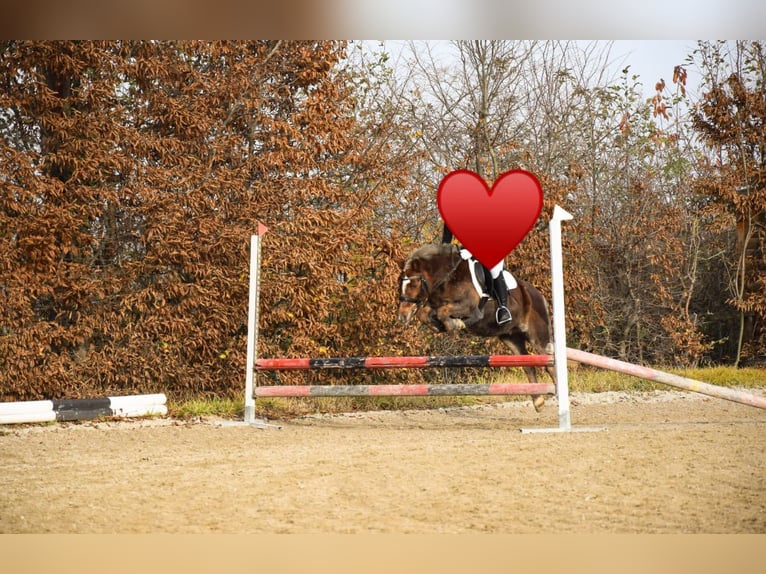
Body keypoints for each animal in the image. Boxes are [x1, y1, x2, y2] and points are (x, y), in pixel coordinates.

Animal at [402, 243, 560, 414]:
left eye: (413, 284)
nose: (402, 316)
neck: (447, 278)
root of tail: (538, 295)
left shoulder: (471, 308)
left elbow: (444, 311)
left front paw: (455, 324)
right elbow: (425, 313)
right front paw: (438, 325)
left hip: (537, 336)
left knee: (549, 364)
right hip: (512, 338)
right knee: (527, 366)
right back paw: (538, 402)